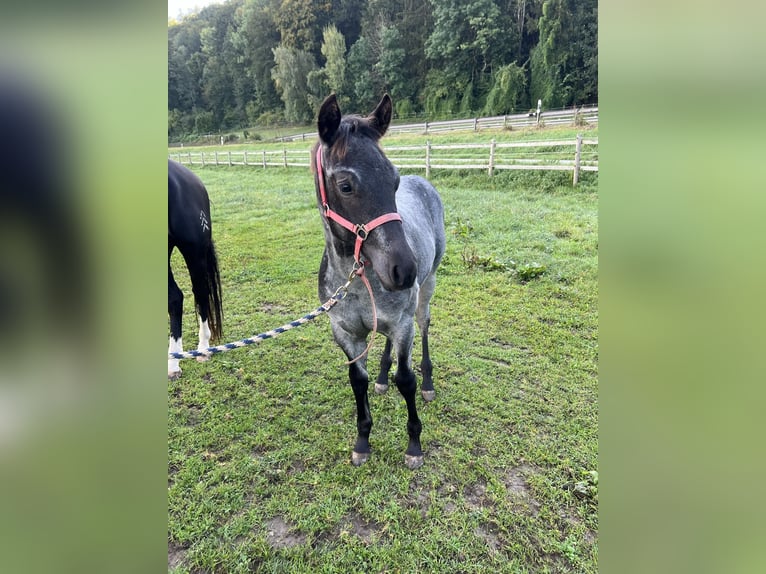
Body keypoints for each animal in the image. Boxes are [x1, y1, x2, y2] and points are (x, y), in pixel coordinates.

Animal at [310, 95, 444, 472]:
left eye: (394, 181)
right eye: (345, 185)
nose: (404, 270)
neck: (356, 283)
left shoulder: (402, 324)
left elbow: (407, 380)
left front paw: (414, 445)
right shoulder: (345, 332)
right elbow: (358, 381)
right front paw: (362, 442)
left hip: (426, 291)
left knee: (425, 327)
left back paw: (428, 382)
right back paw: (383, 378)